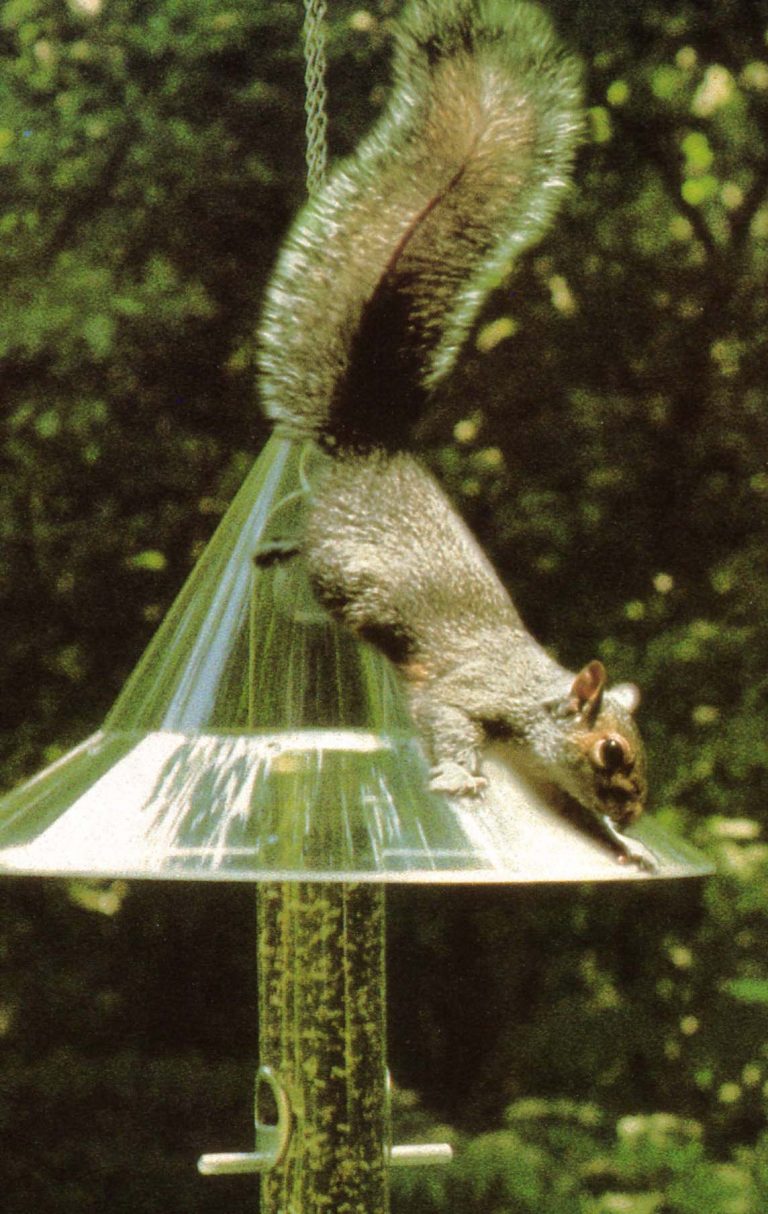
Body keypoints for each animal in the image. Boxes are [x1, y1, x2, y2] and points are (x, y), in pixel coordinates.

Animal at [257, 0, 648, 854]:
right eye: (611, 749)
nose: (637, 808)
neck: (535, 697)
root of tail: (367, 444)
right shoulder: (467, 694)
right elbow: (445, 720)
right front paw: (463, 776)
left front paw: (623, 848)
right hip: (349, 576)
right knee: (313, 553)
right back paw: (279, 547)